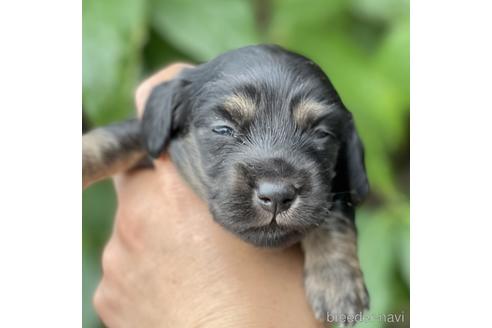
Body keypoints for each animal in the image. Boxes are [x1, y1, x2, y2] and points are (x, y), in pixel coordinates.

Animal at [83, 44, 368, 326]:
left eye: (322, 134)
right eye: (222, 129)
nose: (277, 196)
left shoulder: (338, 184)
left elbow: (334, 215)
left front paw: (337, 283)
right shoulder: (148, 134)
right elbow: (115, 138)